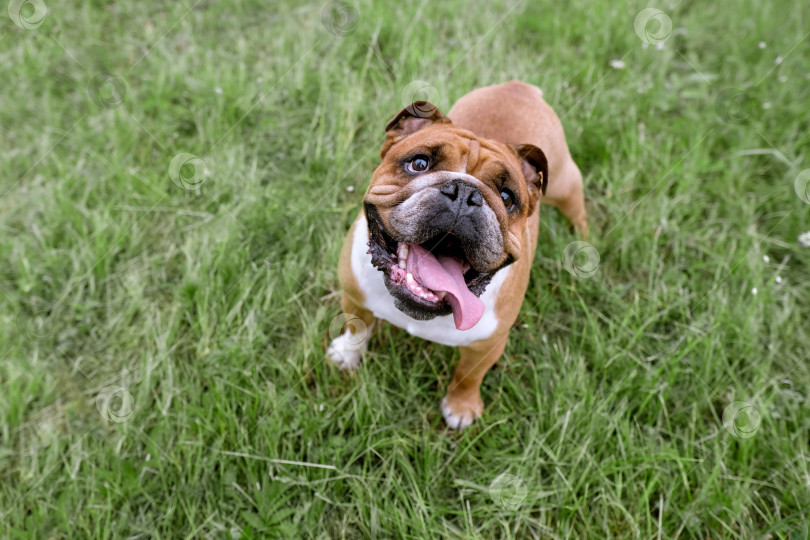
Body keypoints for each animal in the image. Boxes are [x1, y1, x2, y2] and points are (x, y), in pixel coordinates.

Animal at [328, 80, 588, 428]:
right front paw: (347, 353)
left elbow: (468, 375)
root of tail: (518, 87)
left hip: (563, 184)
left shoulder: (487, 345)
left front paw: (461, 406)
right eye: (419, 164)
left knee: (577, 209)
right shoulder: (354, 295)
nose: (465, 193)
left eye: (507, 196)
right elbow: (356, 327)